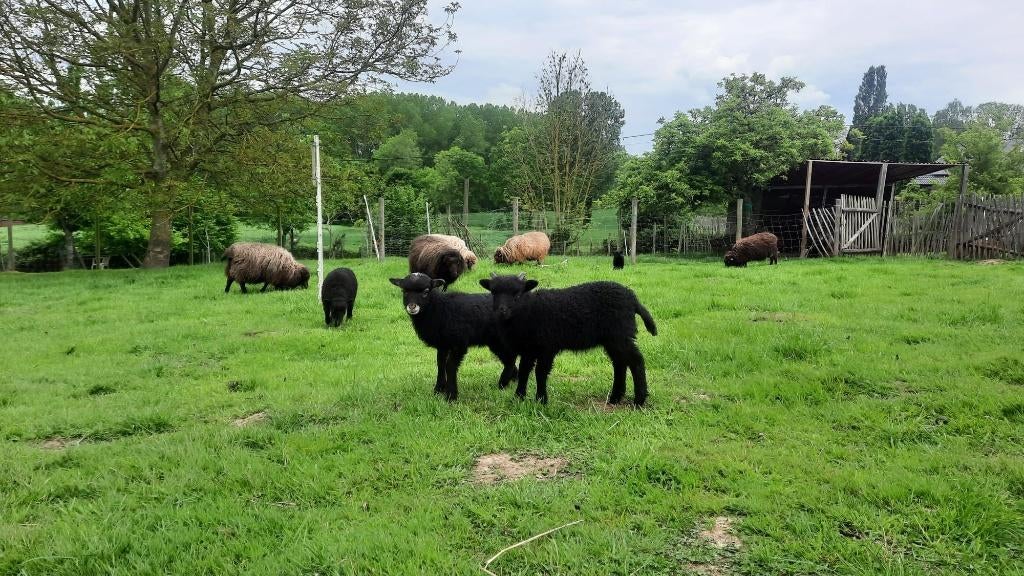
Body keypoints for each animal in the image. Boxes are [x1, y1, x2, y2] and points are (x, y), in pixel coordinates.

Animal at [390, 273, 518, 401]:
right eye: (404, 291)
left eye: (426, 291)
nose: (412, 307)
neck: (439, 309)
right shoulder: (443, 344)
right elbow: (440, 364)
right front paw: (438, 390)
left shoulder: (458, 343)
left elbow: (449, 366)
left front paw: (451, 395)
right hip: (496, 342)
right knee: (510, 359)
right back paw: (512, 380)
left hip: (499, 341)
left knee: (510, 360)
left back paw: (502, 384)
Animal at [479, 273, 657, 406]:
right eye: (493, 292)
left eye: (517, 293)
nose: (501, 311)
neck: (529, 311)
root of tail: (632, 298)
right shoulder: (528, 349)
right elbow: (524, 371)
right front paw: (519, 397)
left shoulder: (547, 347)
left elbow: (540, 373)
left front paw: (541, 400)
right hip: (612, 339)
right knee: (619, 363)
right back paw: (615, 398)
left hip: (620, 334)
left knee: (635, 361)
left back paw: (639, 400)